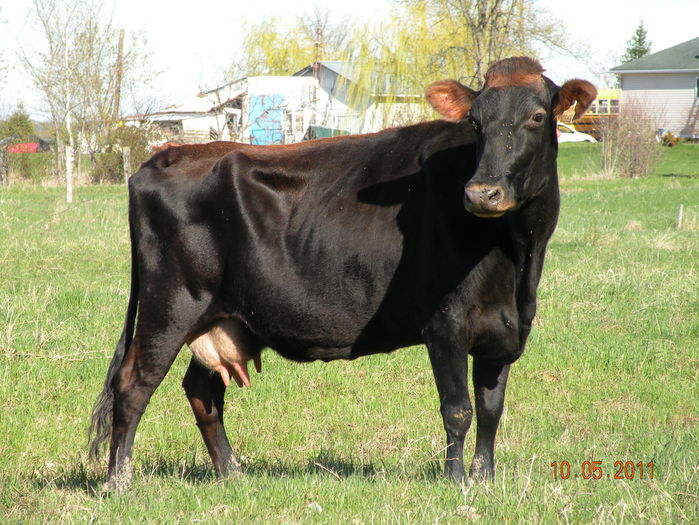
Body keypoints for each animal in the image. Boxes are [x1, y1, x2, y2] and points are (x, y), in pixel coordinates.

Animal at [90, 56, 596, 491]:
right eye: (474, 123)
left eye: (537, 117)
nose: (481, 193)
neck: (515, 261)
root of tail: (165, 156)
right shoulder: (446, 324)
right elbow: (458, 409)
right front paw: (456, 484)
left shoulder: (504, 331)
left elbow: (491, 410)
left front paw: (484, 481)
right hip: (170, 305)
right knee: (133, 385)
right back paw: (119, 484)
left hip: (221, 317)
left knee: (202, 391)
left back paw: (233, 474)